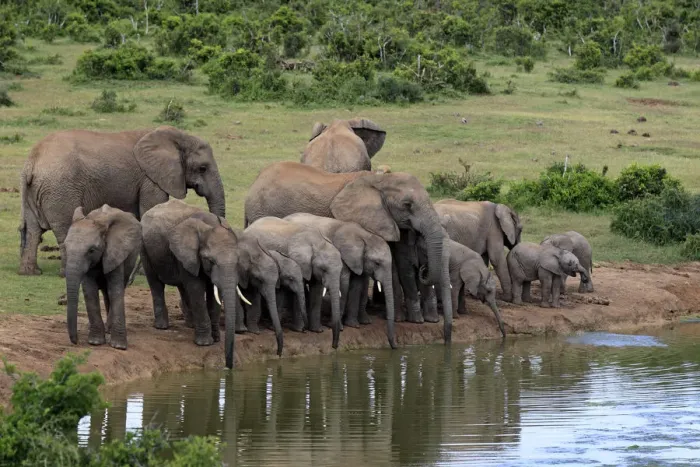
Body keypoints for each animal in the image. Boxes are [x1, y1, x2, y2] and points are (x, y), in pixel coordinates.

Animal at [18, 125, 225, 277]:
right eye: (203, 168)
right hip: (60, 189)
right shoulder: (150, 180)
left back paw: (31, 273)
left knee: (33, 229)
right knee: (64, 227)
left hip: (34, 190)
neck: (178, 137)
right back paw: (66, 273)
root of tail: (32, 162)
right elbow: (150, 210)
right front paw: (145, 273)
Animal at [64, 204, 142, 350]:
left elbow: (115, 291)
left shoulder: (115, 252)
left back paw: (109, 330)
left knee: (113, 290)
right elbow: (90, 292)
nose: (76, 341)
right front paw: (95, 342)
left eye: (91, 250)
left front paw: (119, 346)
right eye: (65, 248)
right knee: (106, 293)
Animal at [140, 199, 244, 368]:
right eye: (210, 260)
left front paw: (216, 339)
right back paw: (162, 326)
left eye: (238, 261)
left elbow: (212, 293)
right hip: (145, 248)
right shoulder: (187, 253)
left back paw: (190, 324)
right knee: (155, 283)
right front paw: (205, 343)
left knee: (182, 287)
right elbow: (196, 289)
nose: (228, 366)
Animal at [244, 216, 344, 349]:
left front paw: (317, 330)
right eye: (324, 269)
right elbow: (299, 288)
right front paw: (300, 330)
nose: (334, 346)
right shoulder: (299, 262)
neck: (317, 241)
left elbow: (316, 291)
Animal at [284, 212, 396, 348]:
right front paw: (340, 327)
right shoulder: (341, 254)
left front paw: (353, 325)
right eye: (377, 263)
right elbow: (344, 283)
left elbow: (357, 285)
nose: (394, 346)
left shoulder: (358, 260)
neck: (365, 235)